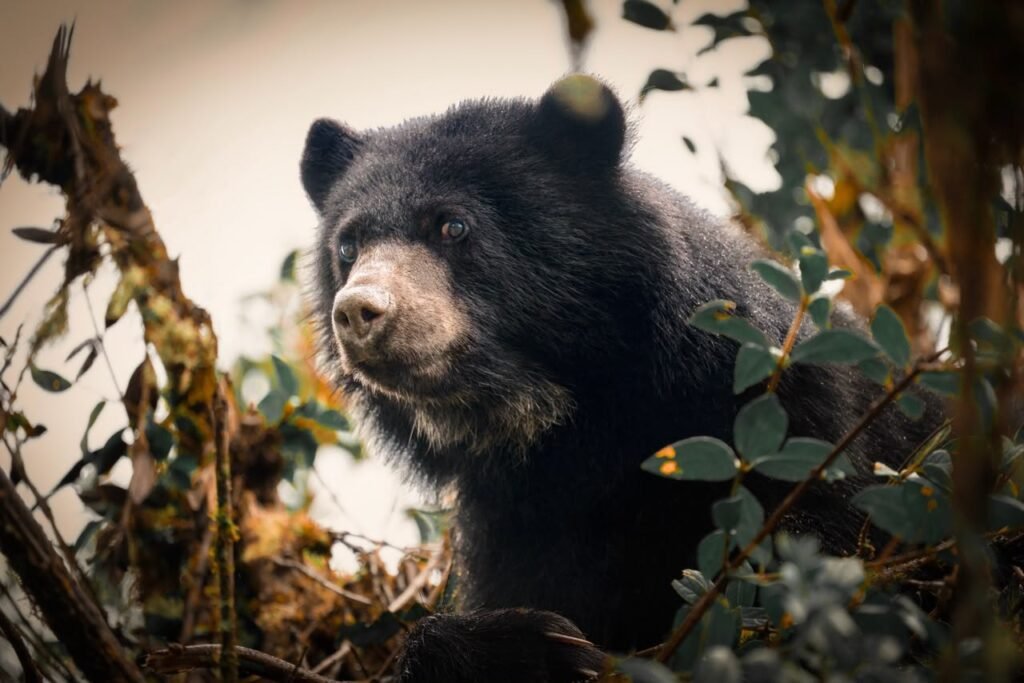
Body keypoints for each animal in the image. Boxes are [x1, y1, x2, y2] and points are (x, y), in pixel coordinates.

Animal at [300, 75, 942, 682]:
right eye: (348, 246)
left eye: (452, 226)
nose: (358, 312)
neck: (568, 415)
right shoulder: (512, 514)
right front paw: (527, 647)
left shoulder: (799, 424)